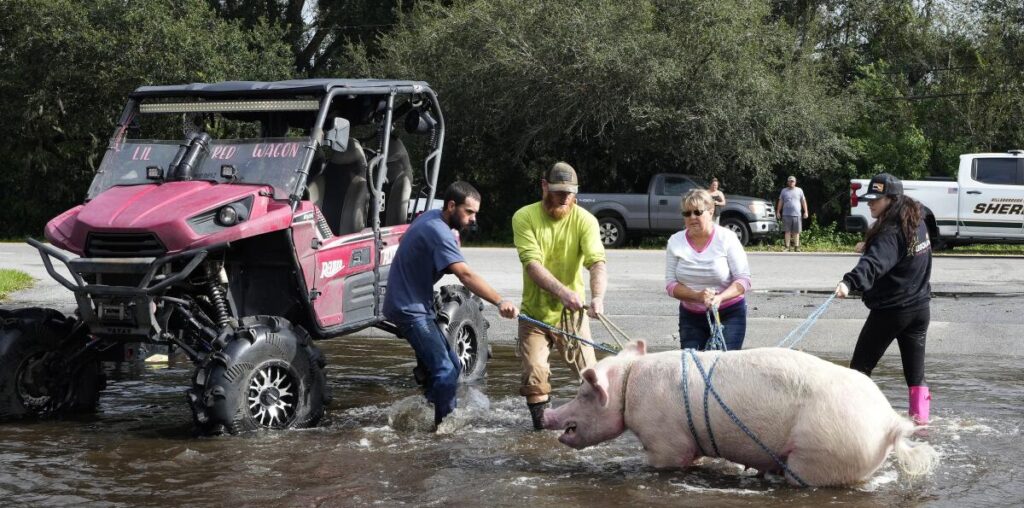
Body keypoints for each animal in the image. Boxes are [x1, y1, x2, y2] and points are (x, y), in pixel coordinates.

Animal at [544, 342, 937, 487]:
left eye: (582, 393)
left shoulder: (665, 441)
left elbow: (667, 461)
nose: (548, 414)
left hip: (822, 453)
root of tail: (889, 423)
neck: (629, 386)